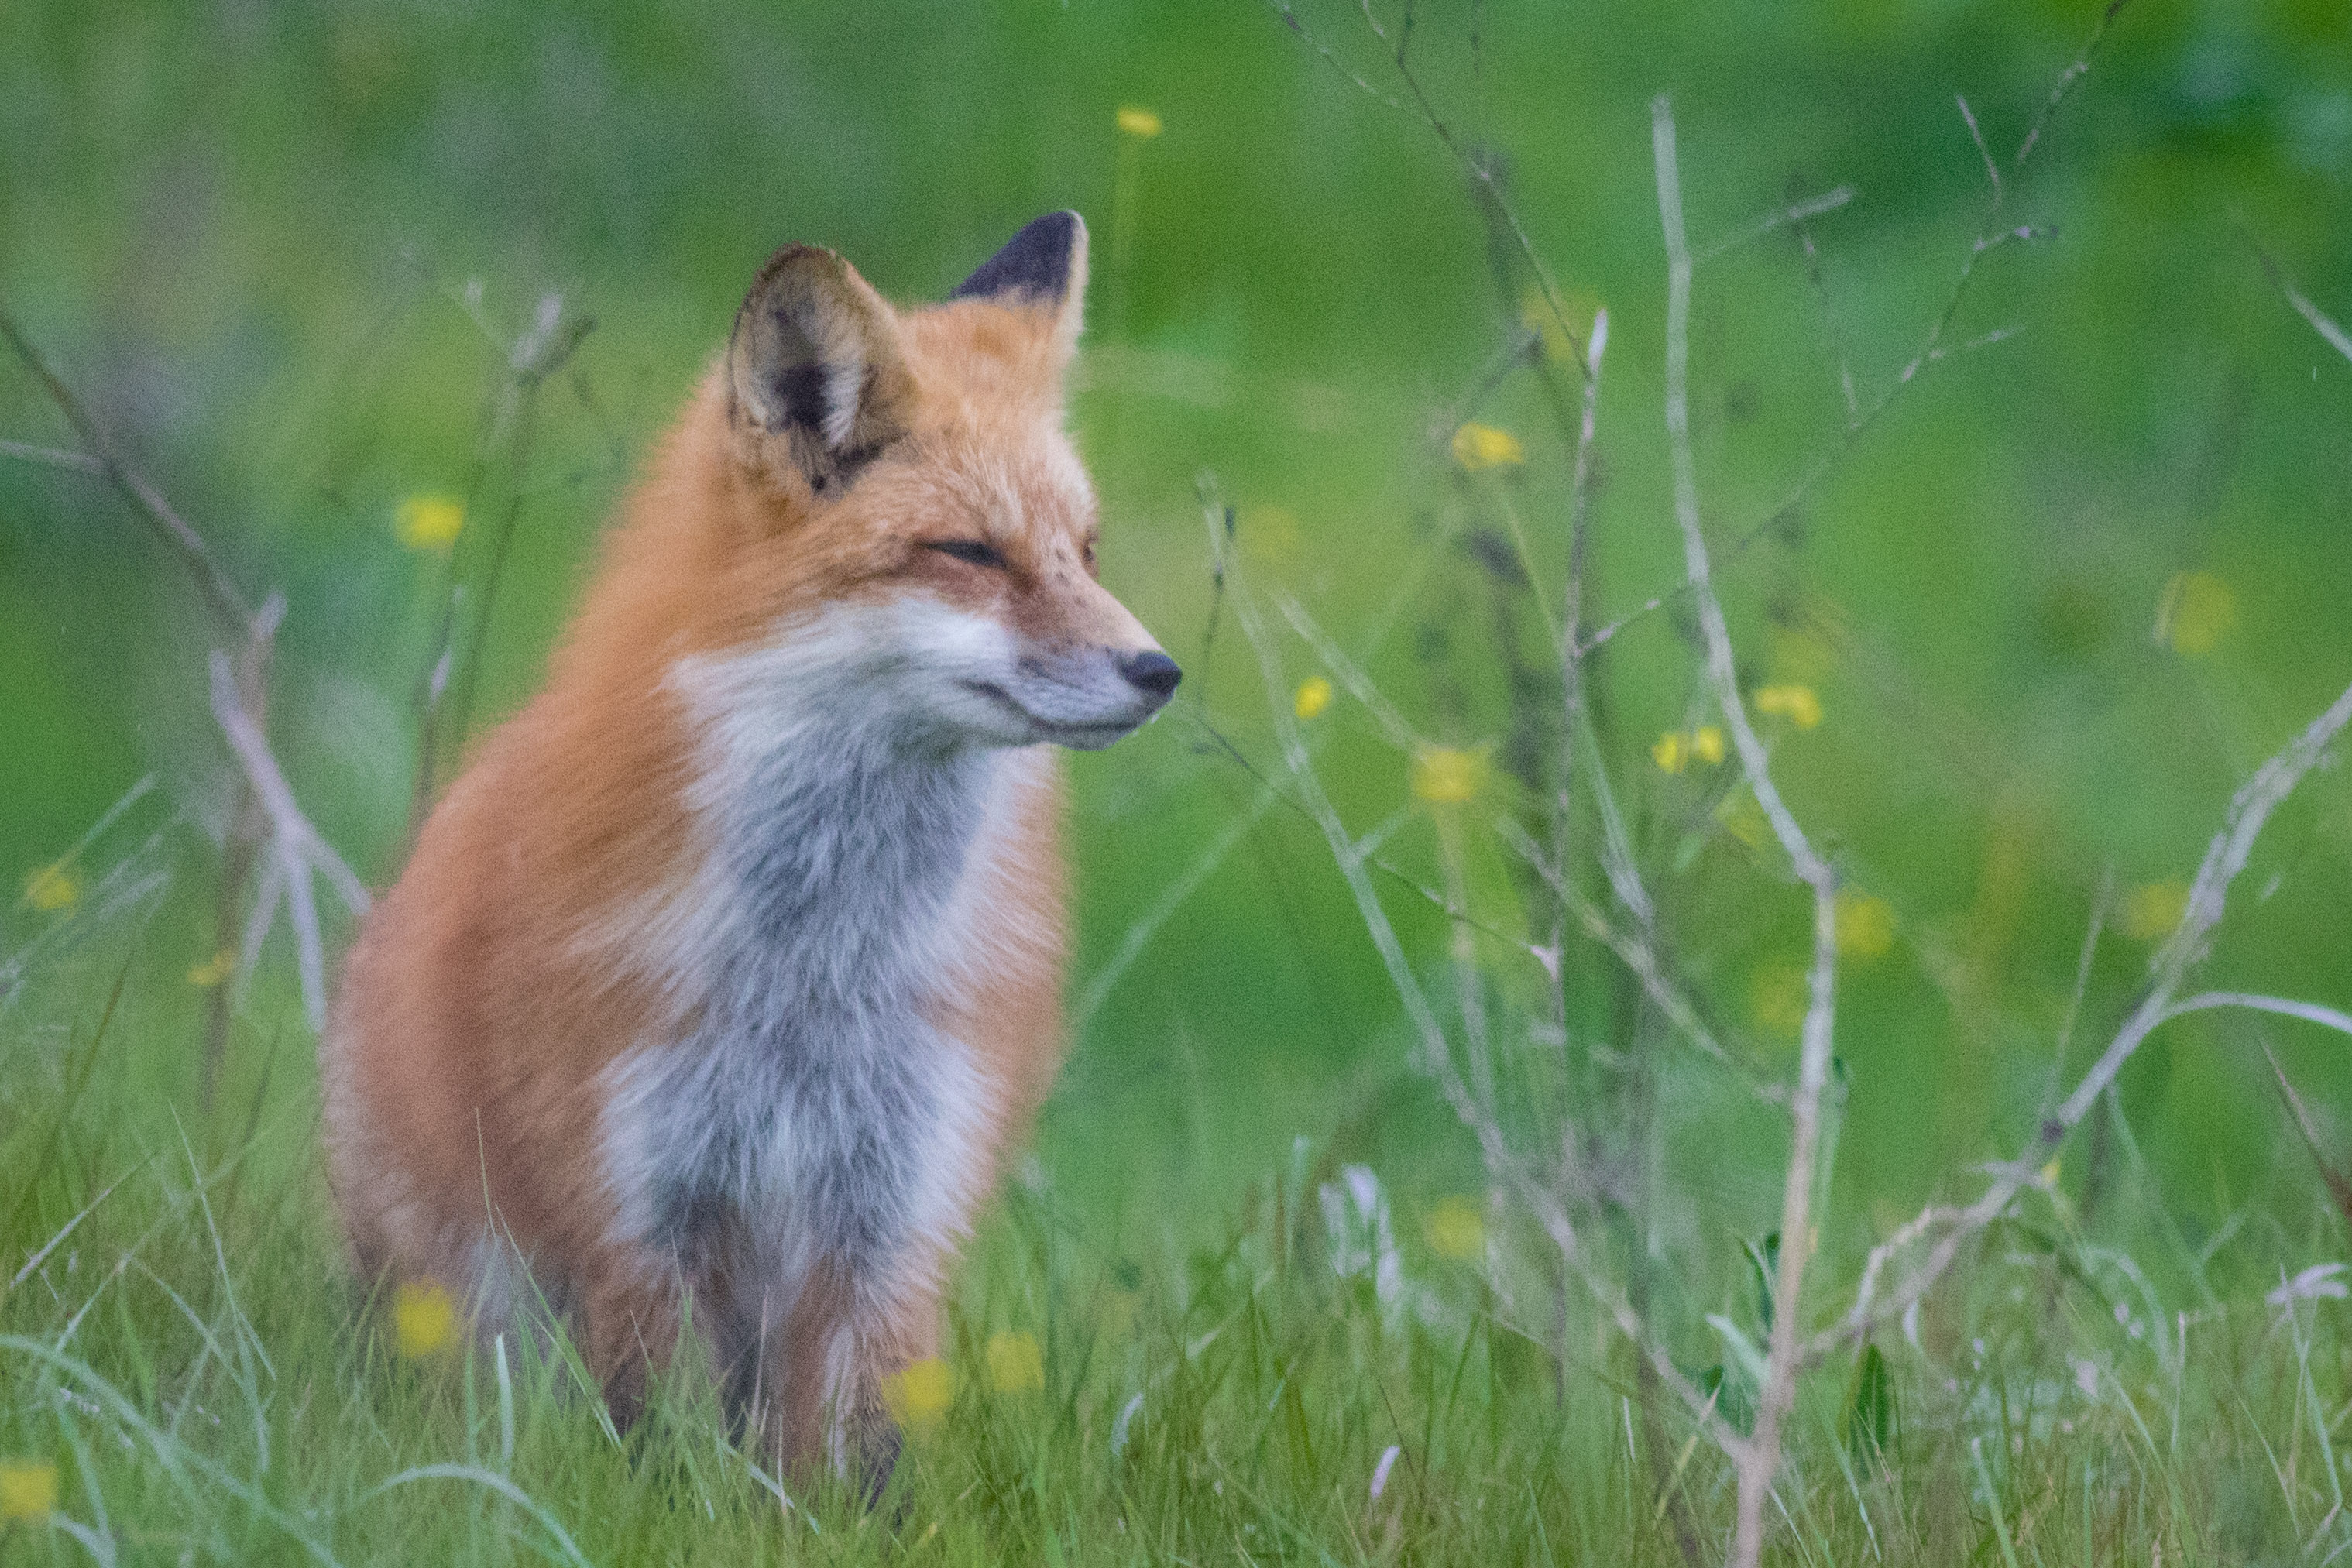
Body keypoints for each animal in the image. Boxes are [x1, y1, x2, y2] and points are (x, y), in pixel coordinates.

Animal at [322, 214, 1176, 1494]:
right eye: (971, 552)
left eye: (1085, 549)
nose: (1157, 670)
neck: (815, 969)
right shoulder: (639, 1199)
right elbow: (663, 1447)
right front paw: (674, 1509)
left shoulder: (893, 1203)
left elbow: (853, 1456)